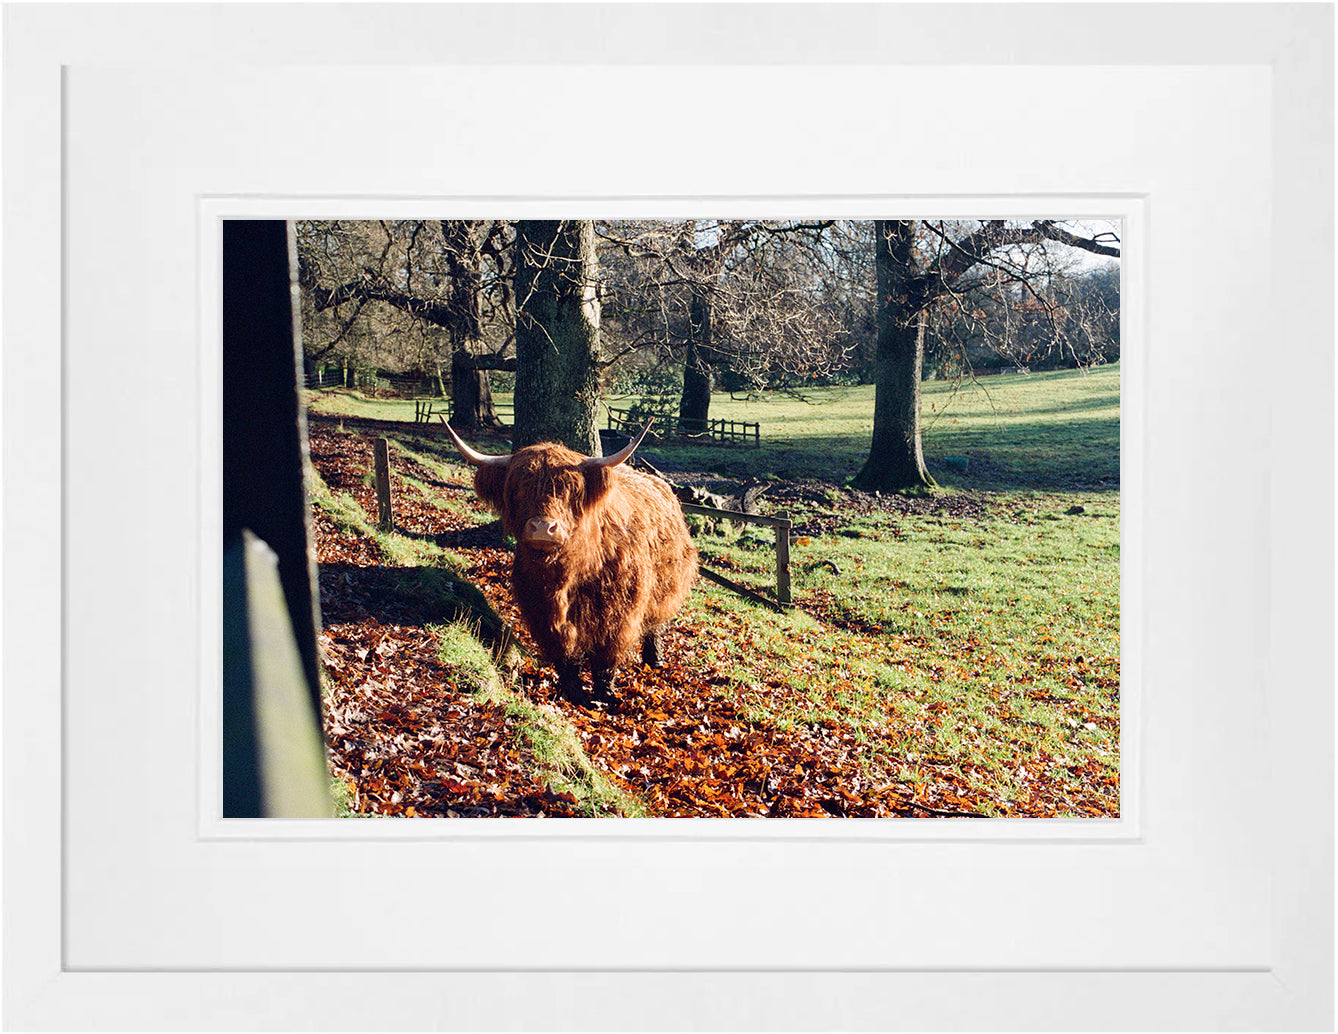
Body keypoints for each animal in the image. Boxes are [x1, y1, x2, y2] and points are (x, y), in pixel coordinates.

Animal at [442, 419, 698, 705]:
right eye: (518, 489)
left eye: (571, 490)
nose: (543, 528)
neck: (567, 575)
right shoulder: (541, 609)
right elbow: (564, 651)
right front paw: (573, 690)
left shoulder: (620, 611)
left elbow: (606, 655)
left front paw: (604, 694)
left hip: (665, 588)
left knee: (655, 625)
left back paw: (655, 660)